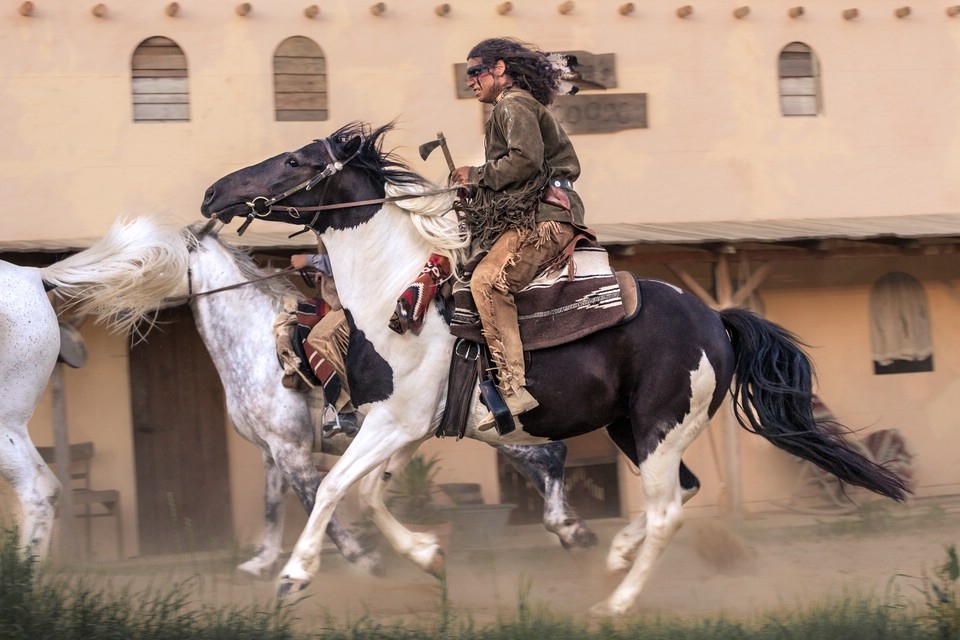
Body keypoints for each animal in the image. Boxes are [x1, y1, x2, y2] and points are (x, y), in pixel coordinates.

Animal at [167, 220, 596, 578]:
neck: (256, 341)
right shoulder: (274, 450)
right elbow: (273, 505)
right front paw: (263, 562)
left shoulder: (291, 450)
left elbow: (313, 500)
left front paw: (361, 559)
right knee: (542, 460)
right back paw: (574, 531)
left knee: (549, 455)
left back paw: (571, 530)